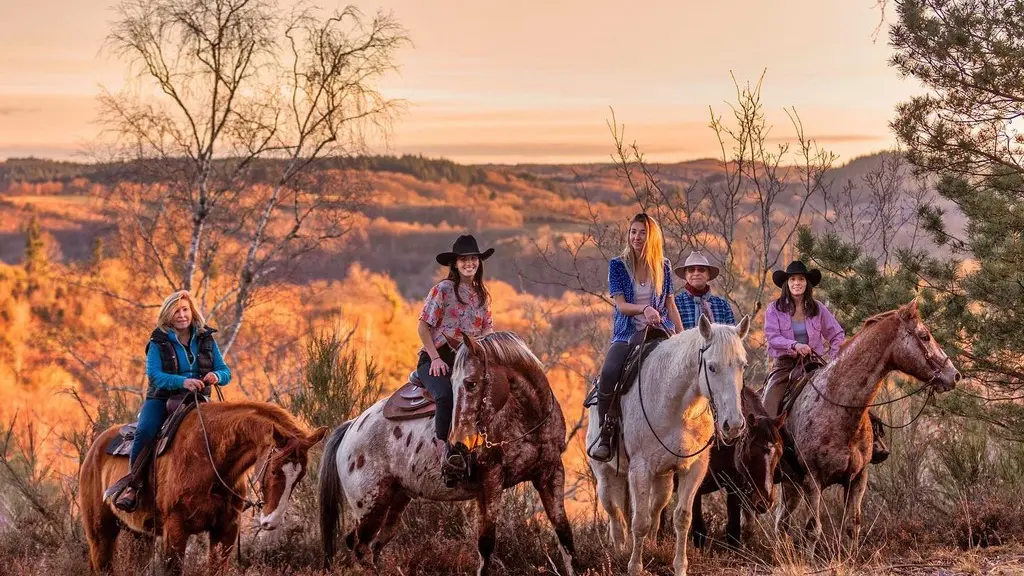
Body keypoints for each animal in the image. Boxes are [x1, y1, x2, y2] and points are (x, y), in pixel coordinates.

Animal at [80, 399, 327, 573]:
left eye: (300, 476)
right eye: (274, 470)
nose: (271, 521)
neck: (210, 461)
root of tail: (94, 449)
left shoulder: (226, 530)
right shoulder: (175, 530)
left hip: (140, 535)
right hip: (100, 533)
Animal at [319, 330, 577, 569]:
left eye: (471, 383)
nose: (460, 441)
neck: (528, 420)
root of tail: (352, 426)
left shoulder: (550, 474)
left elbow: (565, 535)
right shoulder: (491, 481)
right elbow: (486, 544)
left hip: (396, 499)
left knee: (372, 544)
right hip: (370, 505)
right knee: (360, 546)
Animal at [589, 313, 749, 573]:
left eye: (742, 365)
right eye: (711, 366)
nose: (733, 424)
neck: (677, 406)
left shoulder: (694, 468)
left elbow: (682, 518)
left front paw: (680, 567)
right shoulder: (640, 470)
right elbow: (639, 522)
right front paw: (635, 567)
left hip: (663, 480)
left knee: (655, 512)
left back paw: (651, 547)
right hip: (605, 475)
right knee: (616, 515)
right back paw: (619, 551)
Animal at [774, 297, 958, 549]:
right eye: (924, 336)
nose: (955, 375)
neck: (838, 408)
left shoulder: (858, 479)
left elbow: (852, 527)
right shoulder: (814, 480)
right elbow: (813, 530)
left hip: (792, 484)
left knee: (782, 522)